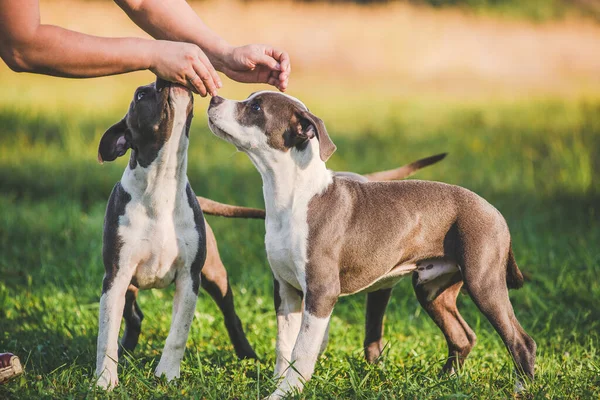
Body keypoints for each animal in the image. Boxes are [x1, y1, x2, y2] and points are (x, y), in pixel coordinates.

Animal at [95, 79, 205, 390]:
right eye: (140, 95)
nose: (161, 80)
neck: (162, 183)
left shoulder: (190, 278)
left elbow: (178, 332)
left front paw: (167, 373)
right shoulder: (115, 277)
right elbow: (106, 333)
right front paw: (105, 379)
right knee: (131, 317)